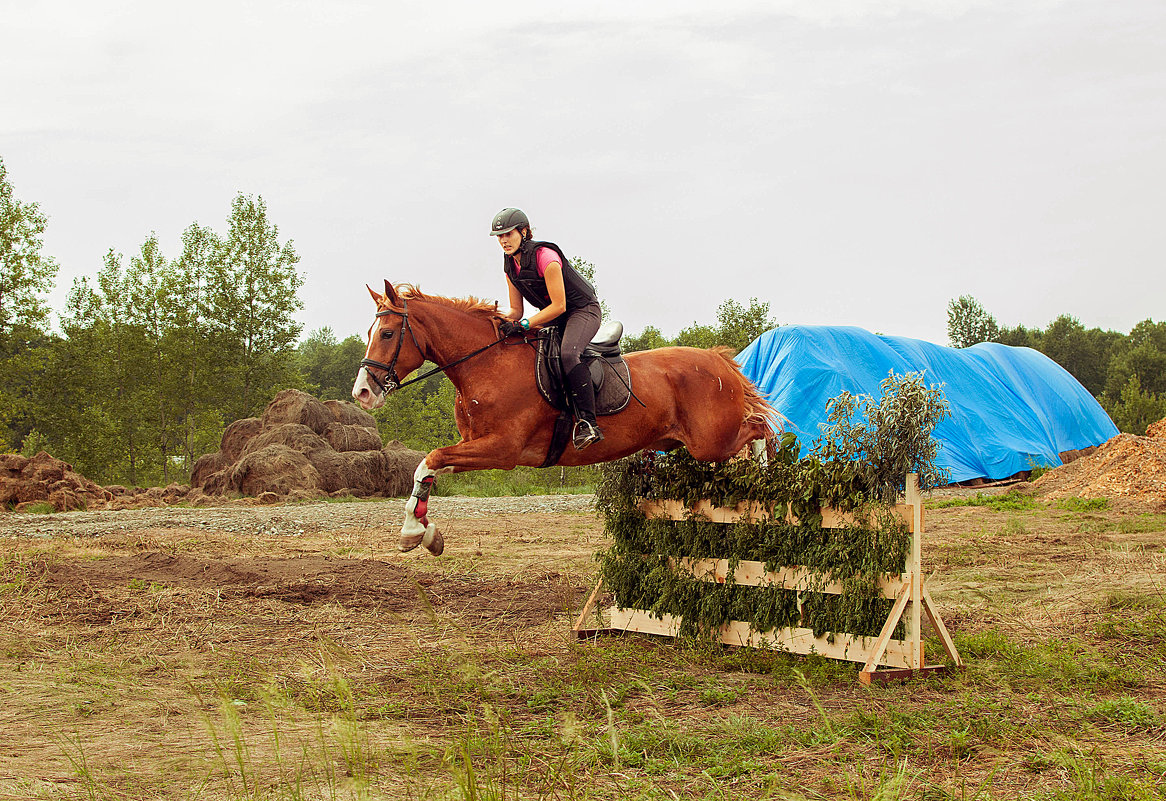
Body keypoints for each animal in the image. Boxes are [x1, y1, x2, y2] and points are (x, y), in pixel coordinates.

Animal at [349, 282, 778, 557]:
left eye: (387, 333)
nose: (362, 393)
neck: (487, 364)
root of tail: (718, 359)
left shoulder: (502, 450)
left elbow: (431, 459)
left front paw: (413, 531)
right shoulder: (475, 447)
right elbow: (427, 469)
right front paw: (422, 533)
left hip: (711, 440)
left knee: (760, 426)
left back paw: (766, 473)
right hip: (688, 443)